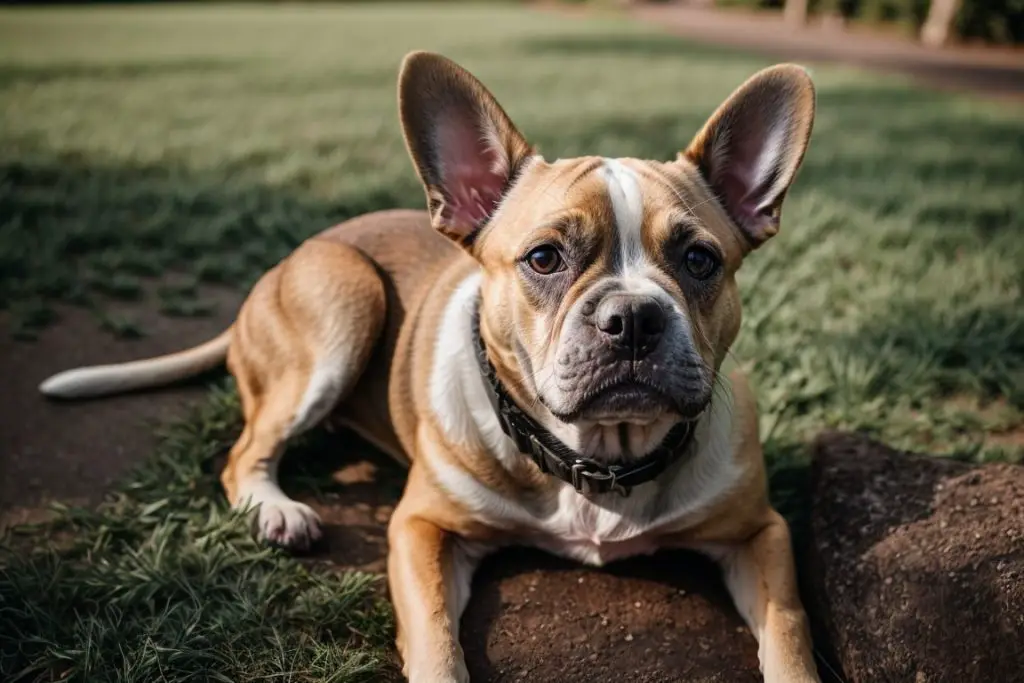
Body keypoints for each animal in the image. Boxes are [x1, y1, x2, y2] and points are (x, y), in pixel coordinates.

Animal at [39, 52, 819, 683]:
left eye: (700, 260)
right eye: (545, 258)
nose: (632, 317)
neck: (598, 458)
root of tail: (288, 262)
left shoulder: (762, 534)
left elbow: (790, 632)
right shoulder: (420, 529)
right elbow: (439, 641)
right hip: (345, 299)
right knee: (244, 453)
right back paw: (278, 508)